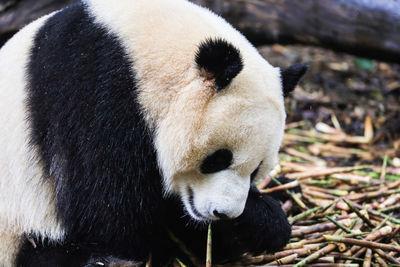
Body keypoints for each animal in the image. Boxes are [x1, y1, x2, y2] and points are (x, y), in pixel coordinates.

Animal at [0, 0, 306, 266]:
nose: (223, 212)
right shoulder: (92, 97)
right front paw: (256, 221)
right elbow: (112, 217)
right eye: (218, 158)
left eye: (256, 170)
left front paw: (274, 207)